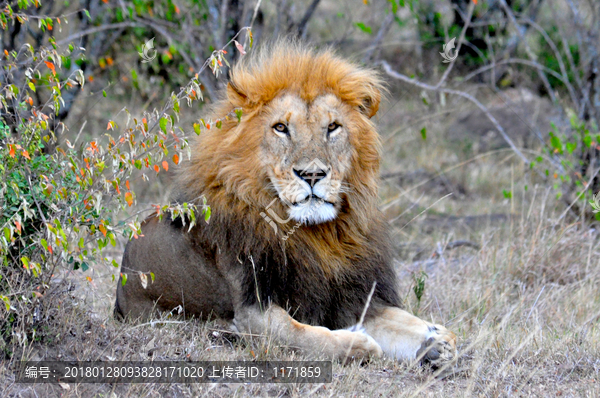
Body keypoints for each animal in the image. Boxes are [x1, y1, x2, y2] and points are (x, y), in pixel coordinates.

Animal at [115, 39, 458, 366]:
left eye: (333, 127)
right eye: (281, 128)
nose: (312, 174)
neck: (318, 236)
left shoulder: (353, 296)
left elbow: (406, 323)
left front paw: (436, 341)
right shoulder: (252, 311)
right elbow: (305, 334)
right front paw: (356, 344)